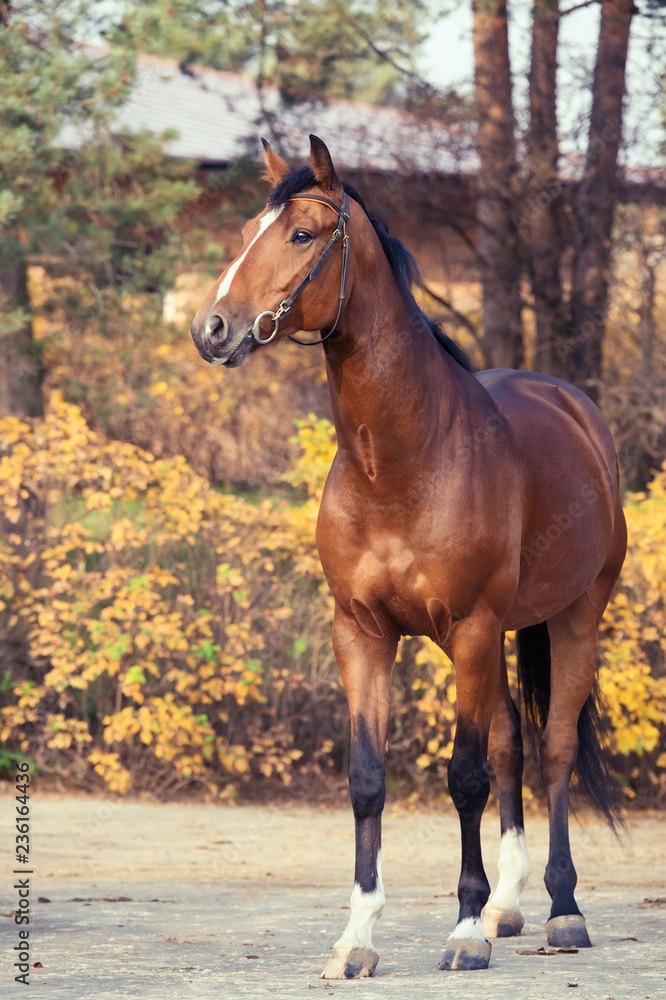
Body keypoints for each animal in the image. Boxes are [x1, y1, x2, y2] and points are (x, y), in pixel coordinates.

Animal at [190, 135, 627, 978]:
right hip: (499, 637)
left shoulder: (470, 626)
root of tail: (573, 406)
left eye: (301, 235)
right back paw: (507, 907)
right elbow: (369, 780)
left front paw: (461, 932)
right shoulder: (362, 632)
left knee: (552, 751)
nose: (214, 329)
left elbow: (463, 777)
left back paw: (562, 910)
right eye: (248, 231)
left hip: (572, 618)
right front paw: (358, 938)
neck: (403, 459)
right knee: (512, 747)